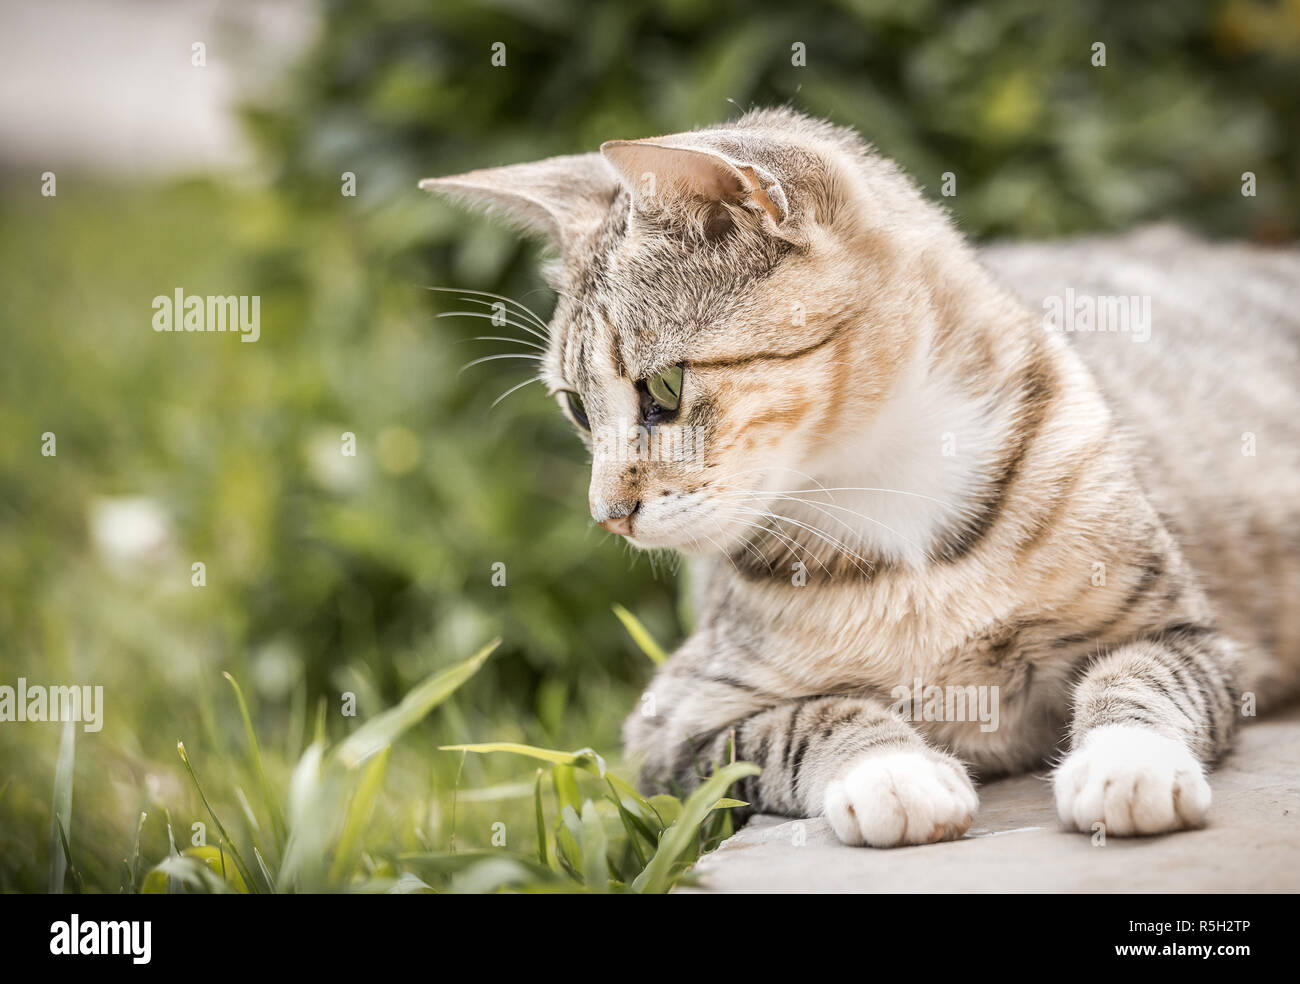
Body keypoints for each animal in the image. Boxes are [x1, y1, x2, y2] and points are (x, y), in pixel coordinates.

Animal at [421, 105, 1294, 842]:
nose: (607, 514)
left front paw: (1126, 765)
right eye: (576, 409)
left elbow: (1142, 679)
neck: (890, 493)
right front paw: (893, 772)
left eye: (662, 390)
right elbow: (809, 718)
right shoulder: (675, 723)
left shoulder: (1185, 634)